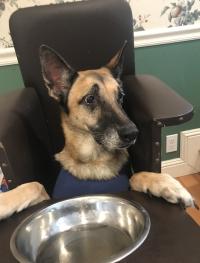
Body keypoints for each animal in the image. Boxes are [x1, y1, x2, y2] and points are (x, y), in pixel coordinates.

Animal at [0, 43, 195, 221]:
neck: (93, 161)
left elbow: (137, 176)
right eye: (90, 99)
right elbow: (35, 185)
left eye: (120, 96)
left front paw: (167, 184)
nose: (133, 134)